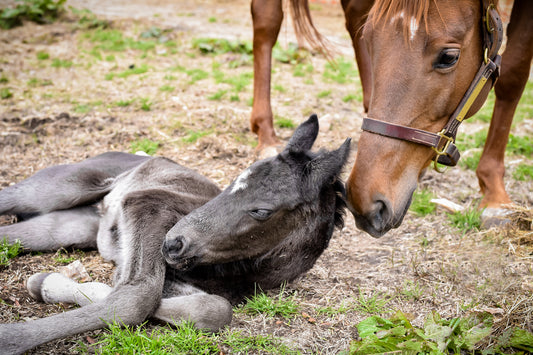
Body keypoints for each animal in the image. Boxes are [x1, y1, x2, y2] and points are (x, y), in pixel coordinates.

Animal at [0, 115, 350, 354]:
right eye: (233, 180)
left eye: (262, 210)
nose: (173, 242)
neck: (238, 271)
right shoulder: (147, 204)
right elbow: (136, 297)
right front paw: (12, 337)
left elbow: (213, 309)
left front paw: (49, 283)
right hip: (56, 191)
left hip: (72, 226)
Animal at [251, 1, 532, 238]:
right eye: (371, 40)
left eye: (449, 57)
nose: (364, 201)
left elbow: (514, 74)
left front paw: (495, 193)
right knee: (266, 18)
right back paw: (266, 133)